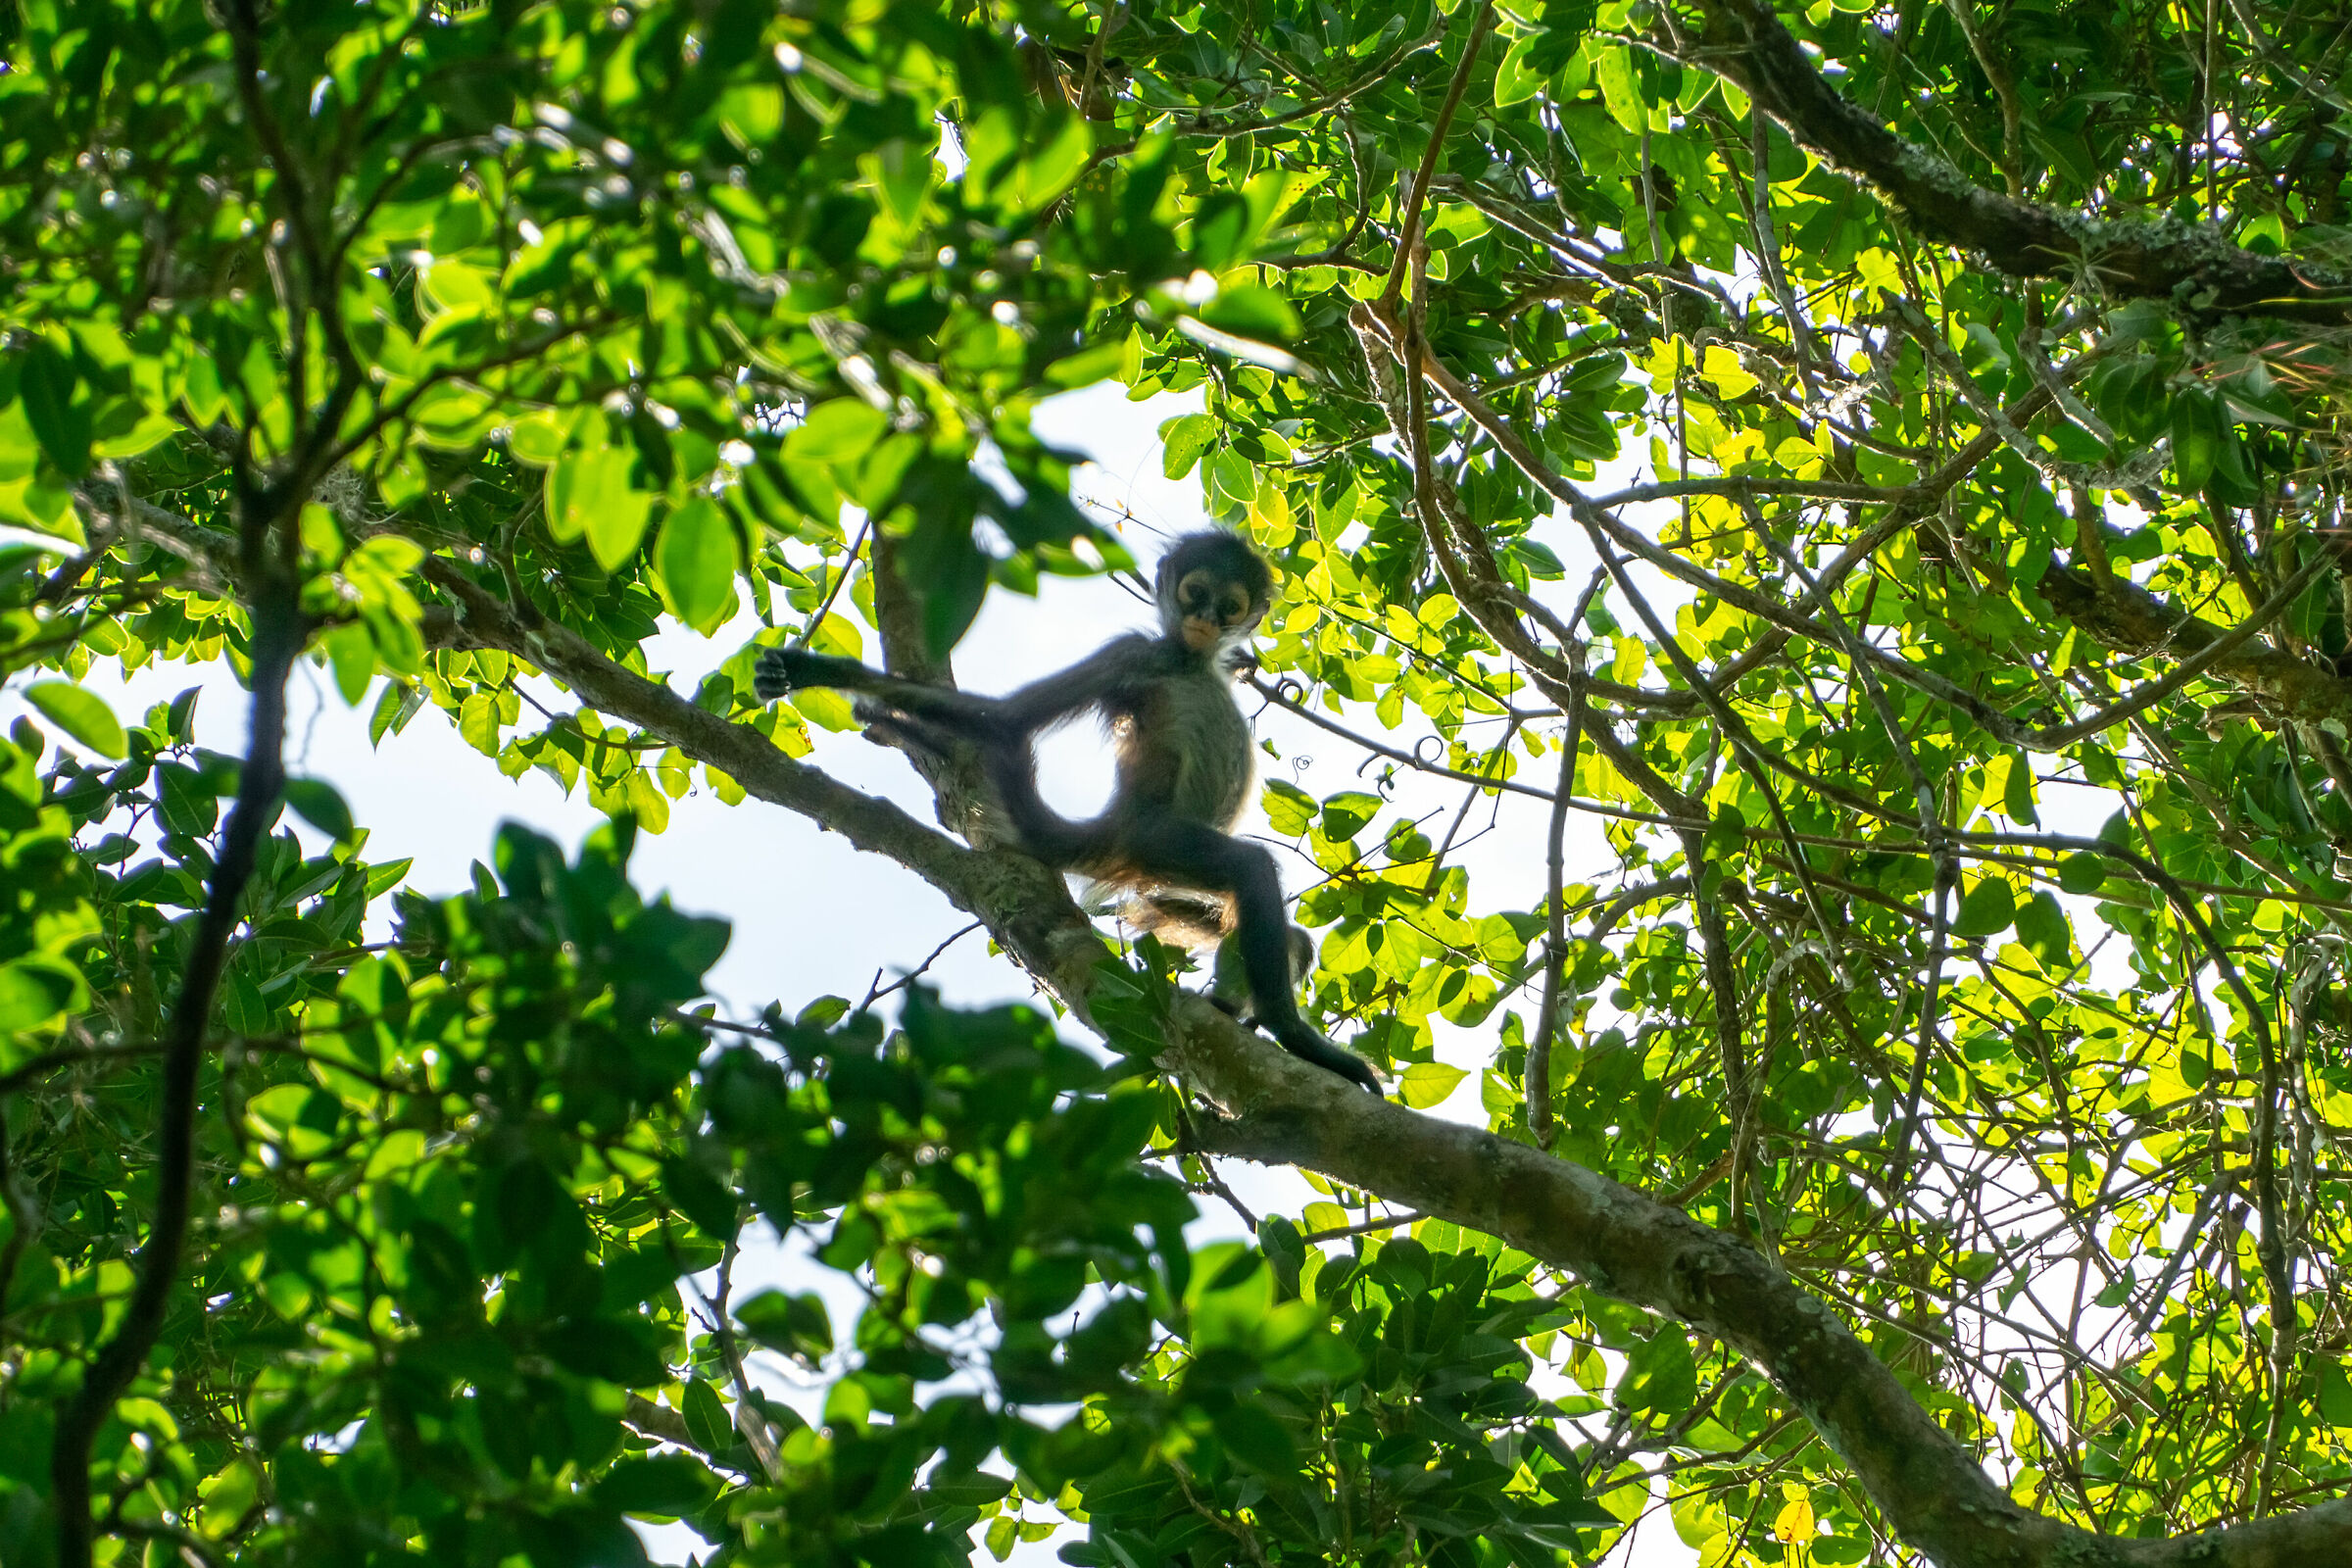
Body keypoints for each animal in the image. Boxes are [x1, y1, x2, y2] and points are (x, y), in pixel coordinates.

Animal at [752, 530, 1383, 1094]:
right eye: (1194, 593)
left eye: (1229, 607)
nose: (1204, 619)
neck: (1186, 659)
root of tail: (1114, 825)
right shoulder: (1129, 654)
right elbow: (1009, 718)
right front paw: (818, 671)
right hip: (1159, 839)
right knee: (1252, 870)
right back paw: (1288, 1031)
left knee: (1265, 930)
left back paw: (1232, 1008)